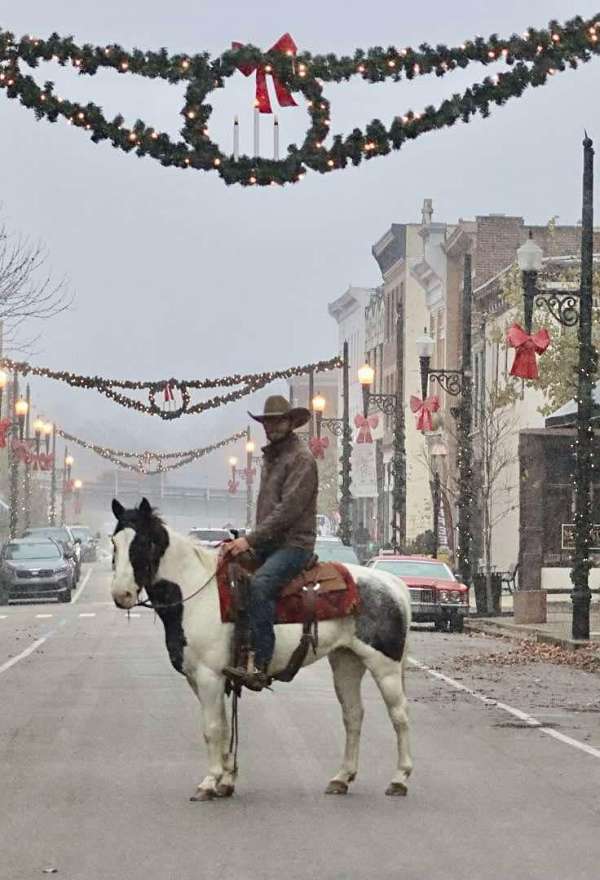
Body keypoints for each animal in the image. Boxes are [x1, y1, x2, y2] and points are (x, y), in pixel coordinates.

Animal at [110, 498, 414, 800]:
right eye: (114, 542)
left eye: (144, 542)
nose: (121, 594)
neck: (198, 594)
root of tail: (393, 583)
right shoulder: (201, 678)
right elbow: (224, 725)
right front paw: (226, 781)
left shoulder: (209, 676)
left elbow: (212, 728)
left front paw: (209, 782)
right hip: (347, 661)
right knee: (353, 714)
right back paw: (342, 778)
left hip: (385, 666)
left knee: (399, 716)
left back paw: (399, 779)